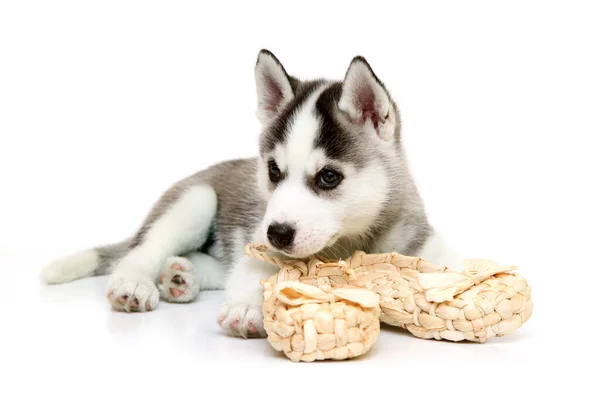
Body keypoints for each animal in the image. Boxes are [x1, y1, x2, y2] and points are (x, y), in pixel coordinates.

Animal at [41, 49, 460, 338]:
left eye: (328, 177)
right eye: (274, 170)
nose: (278, 234)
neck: (349, 241)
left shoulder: (427, 245)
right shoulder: (259, 243)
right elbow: (255, 273)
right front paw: (247, 308)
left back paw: (181, 277)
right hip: (195, 201)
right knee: (141, 251)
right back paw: (135, 284)